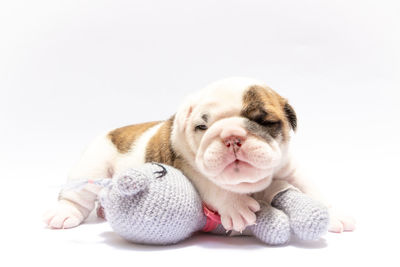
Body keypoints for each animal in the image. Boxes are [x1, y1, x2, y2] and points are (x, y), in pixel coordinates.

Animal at [44, 77, 356, 234]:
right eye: (202, 126)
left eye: (265, 121)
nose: (231, 137)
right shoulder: (186, 166)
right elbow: (212, 184)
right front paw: (235, 206)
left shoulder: (291, 169)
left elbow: (312, 189)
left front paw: (333, 214)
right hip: (91, 168)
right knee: (75, 196)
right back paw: (64, 214)